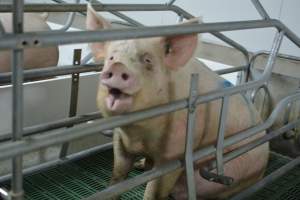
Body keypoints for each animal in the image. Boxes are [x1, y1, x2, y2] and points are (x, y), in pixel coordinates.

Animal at [86, 3, 270, 199]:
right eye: (111, 58)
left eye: (148, 60)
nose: (118, 67)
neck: (138, 134)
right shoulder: (120, 139)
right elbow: (117, 177)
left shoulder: (176, 151)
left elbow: (154, 190)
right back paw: (140, 165)